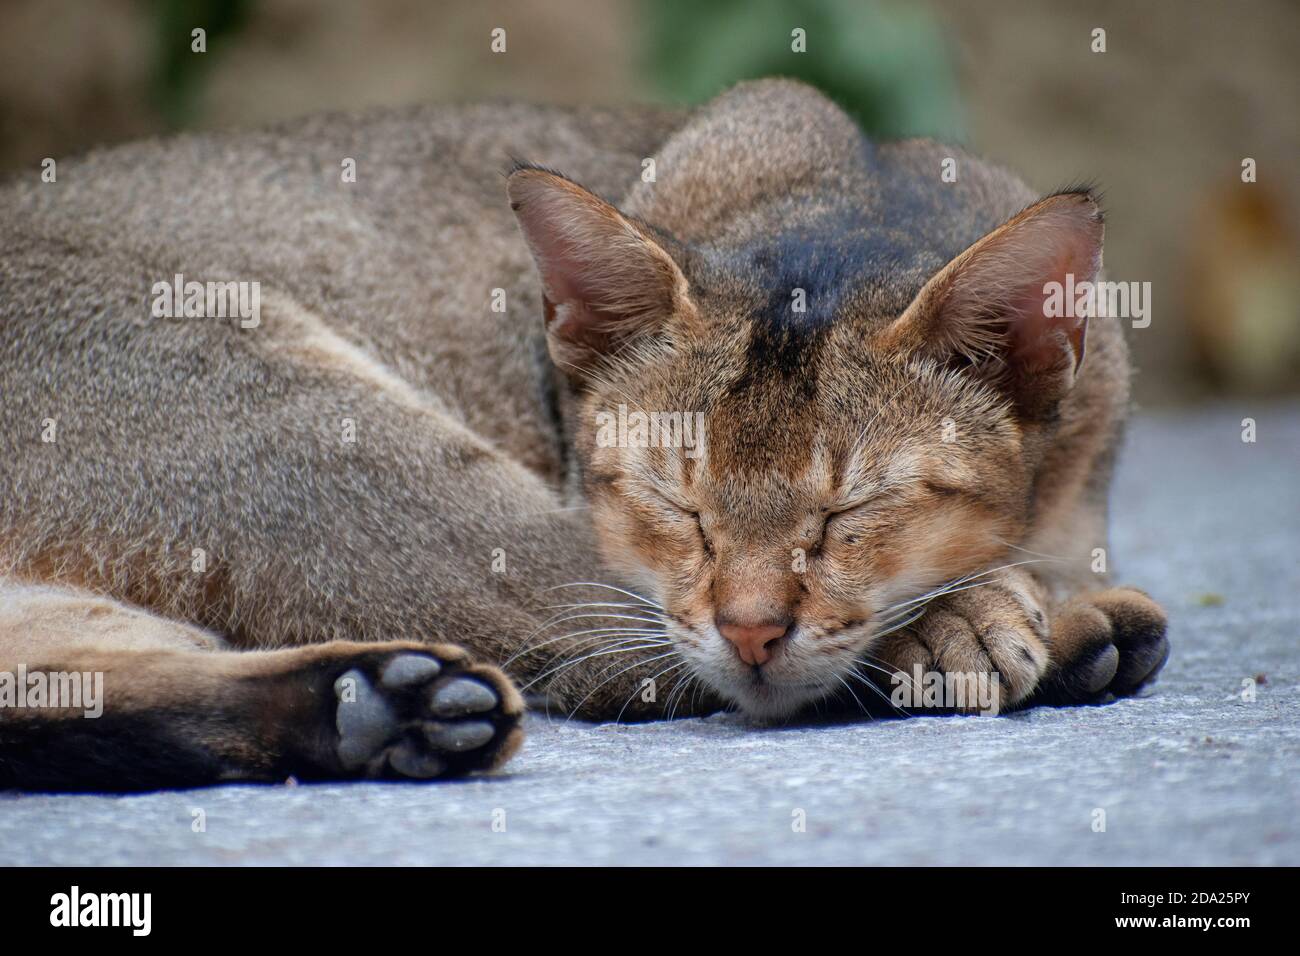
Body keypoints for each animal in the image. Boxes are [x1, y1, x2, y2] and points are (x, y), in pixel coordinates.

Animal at [0, 78, 1175, 790]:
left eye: (853, 508)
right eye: (674, 500)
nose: (753, 628)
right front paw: (974, 617)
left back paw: (376, 705)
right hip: (323, 434)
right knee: (622, 654)